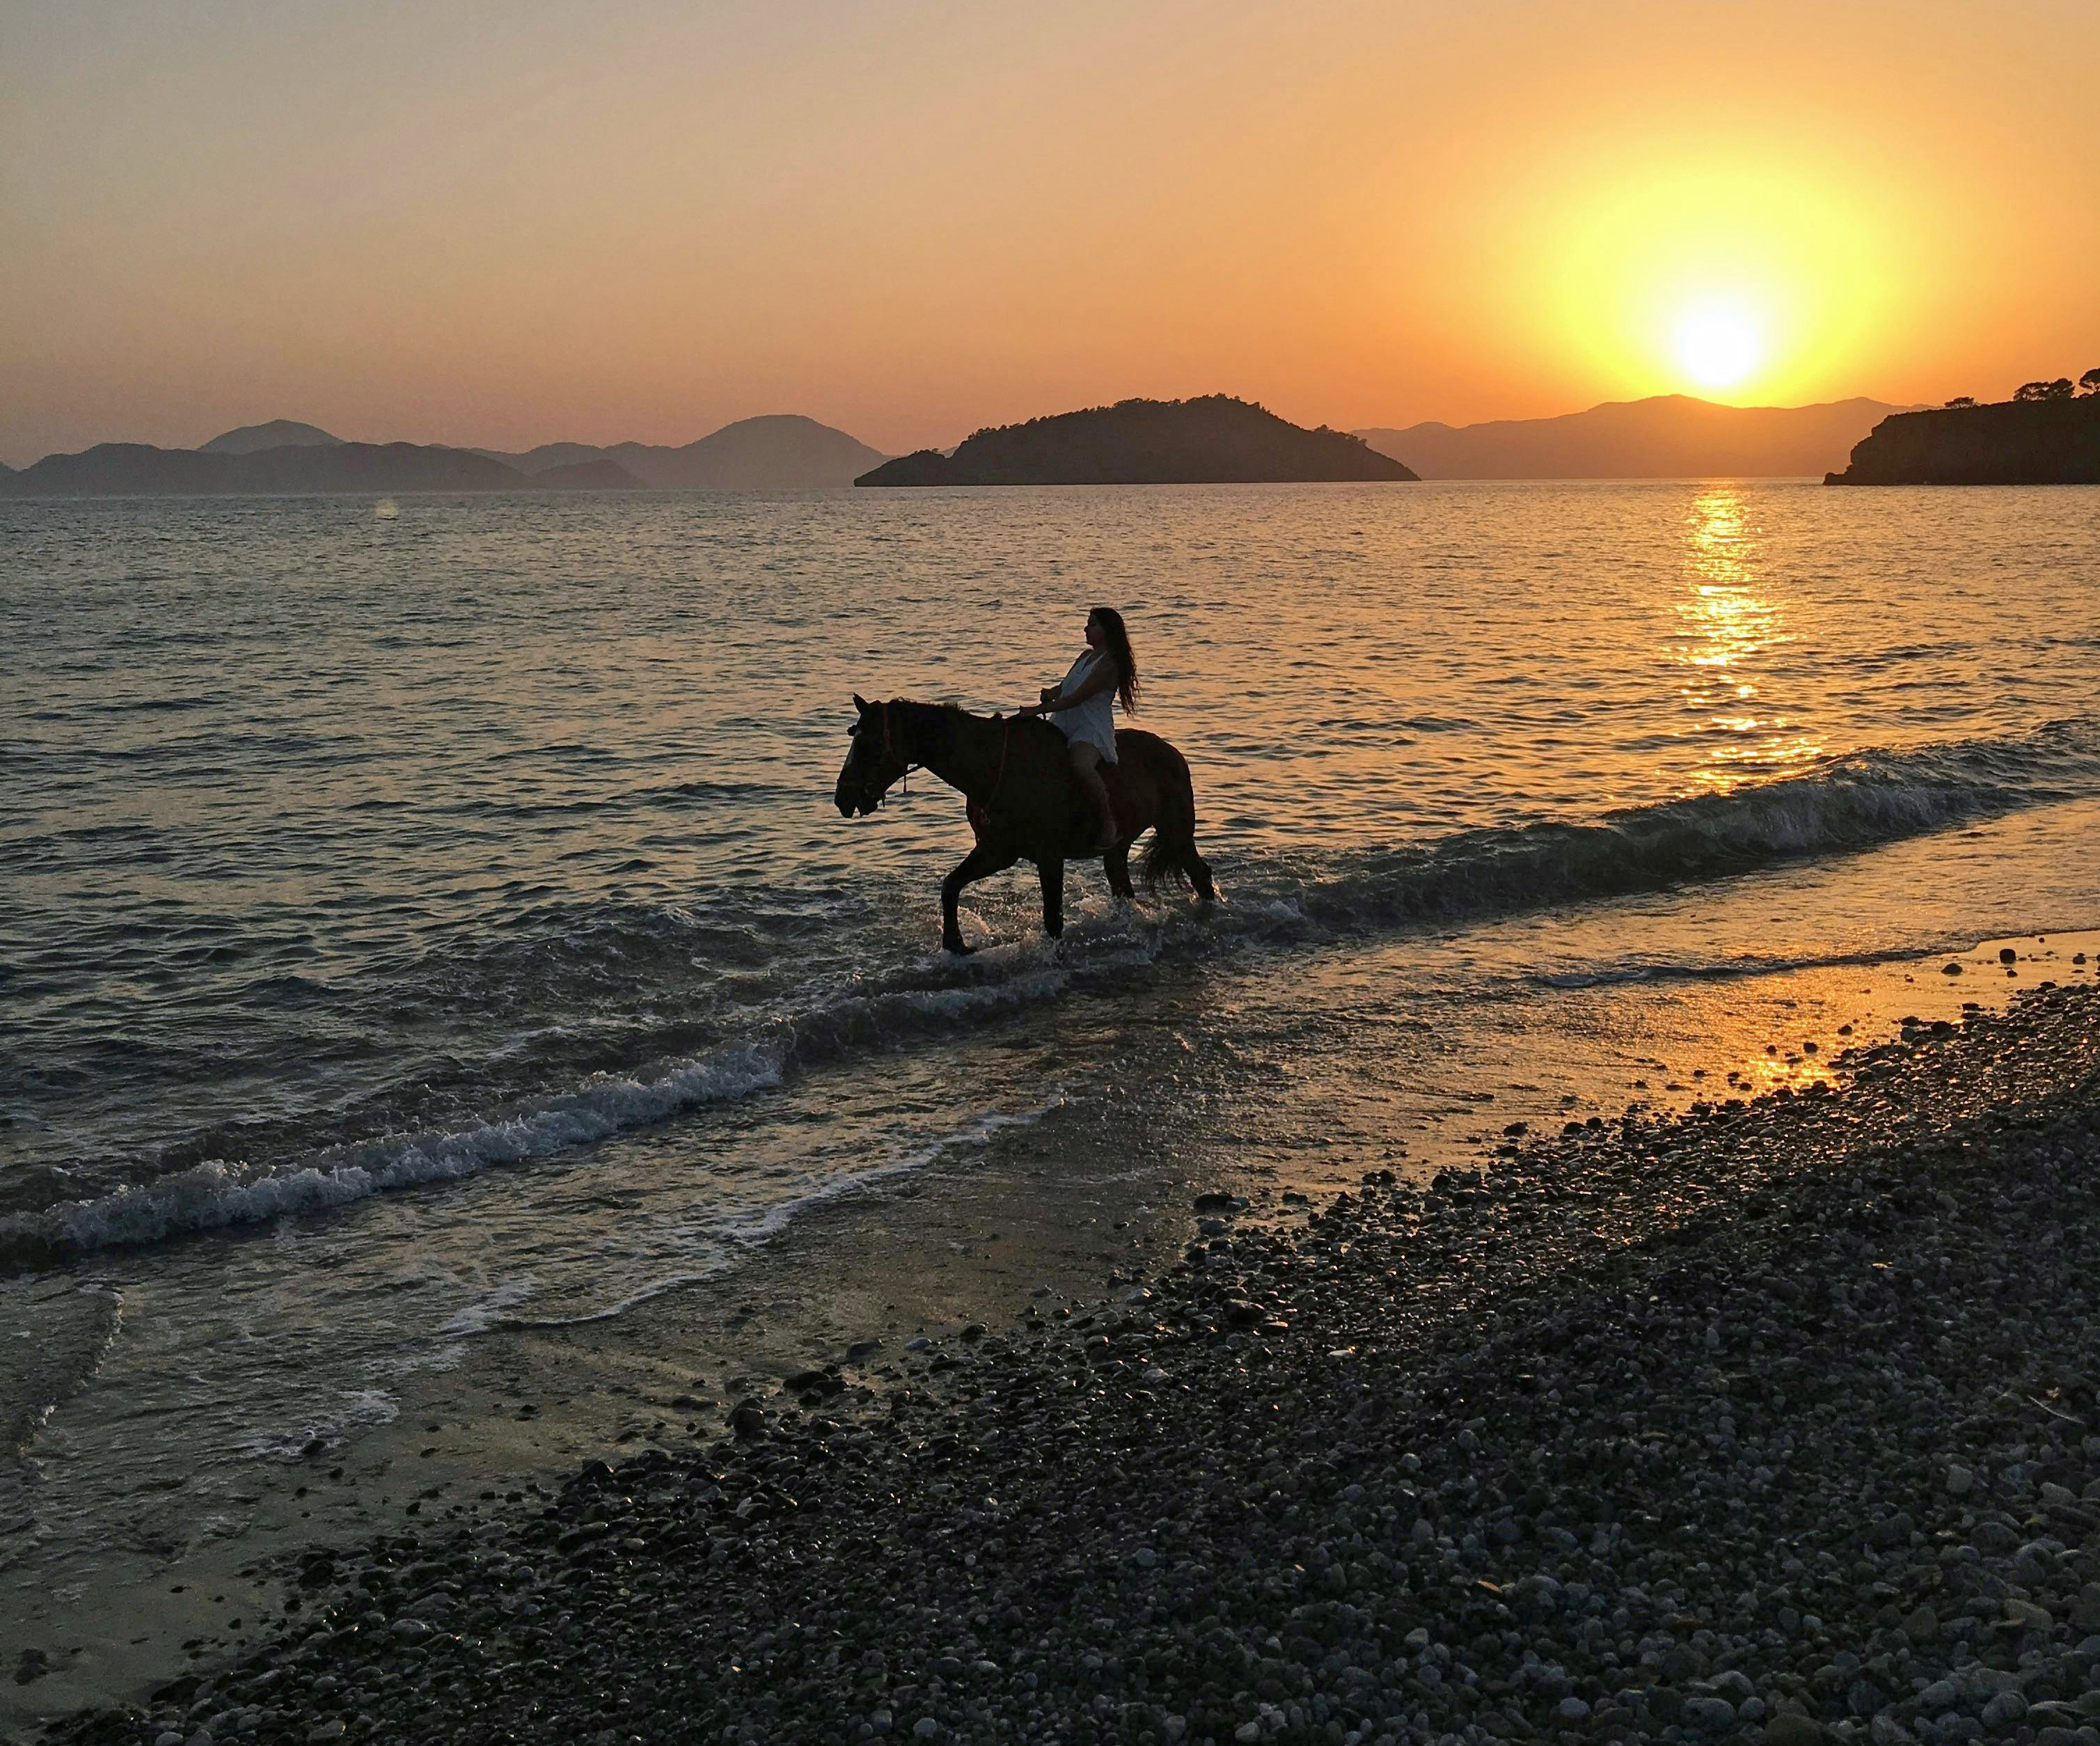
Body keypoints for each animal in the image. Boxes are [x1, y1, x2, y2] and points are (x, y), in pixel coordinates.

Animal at [834, 695, 1218, 954]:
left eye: (868, 744)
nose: (842, 797)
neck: (991, 768)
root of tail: (1173, 754)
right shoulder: (995, 852)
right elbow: (950, 886)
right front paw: (956, 944)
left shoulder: (1049, 857)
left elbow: (1053, 920)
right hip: (1118, 849)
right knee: (1125, 889)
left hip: (1176, 832)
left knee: (1201, 876)